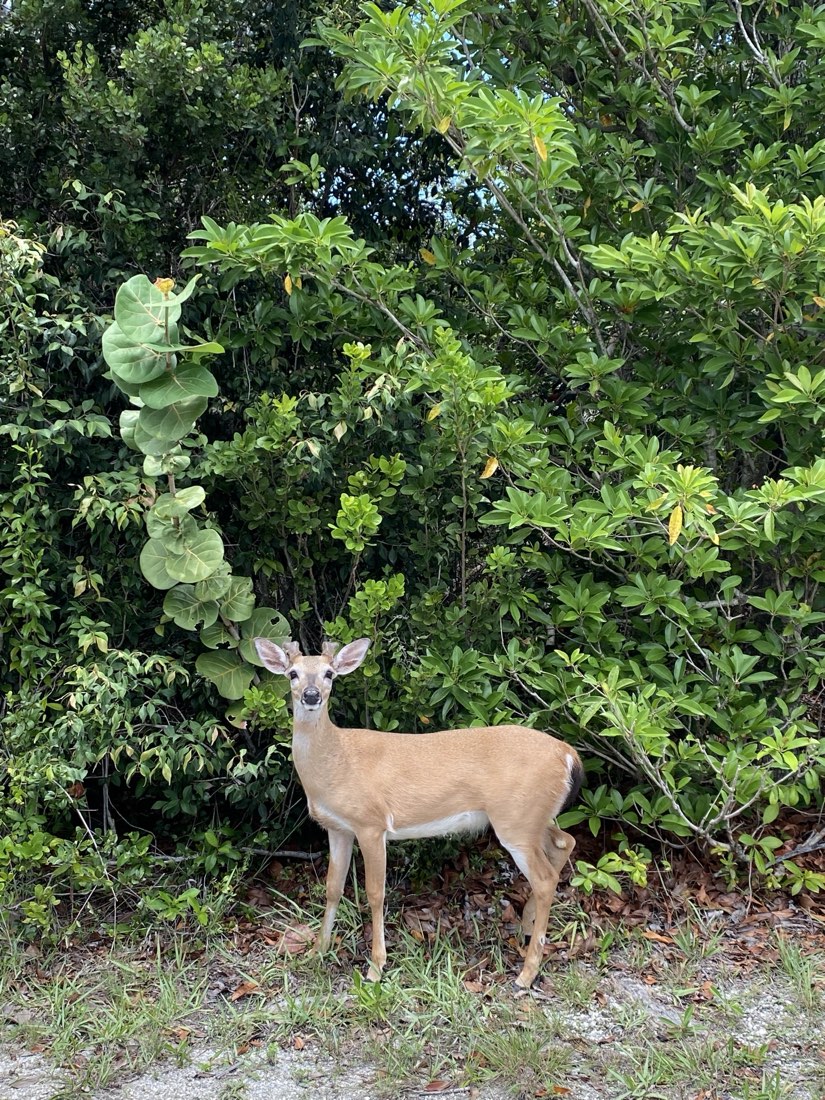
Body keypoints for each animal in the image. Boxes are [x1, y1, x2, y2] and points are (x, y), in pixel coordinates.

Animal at [254, 636, 583, 988]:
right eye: (292, 673)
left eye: (329, 673)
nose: (311, 695)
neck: (336, 762)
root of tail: (568, 754)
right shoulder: (338, 827)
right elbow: (332, 888)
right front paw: (318, 950)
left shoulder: (371, 823)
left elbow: (375, 893)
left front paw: (376, 967)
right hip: (531, 816)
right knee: (564, 842)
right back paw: (526, 926)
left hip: (516, 820)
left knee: (545, 877)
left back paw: (526, 973)